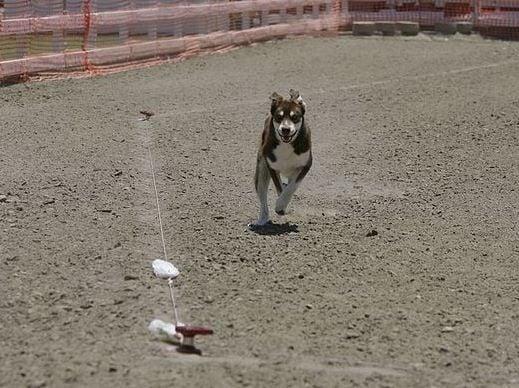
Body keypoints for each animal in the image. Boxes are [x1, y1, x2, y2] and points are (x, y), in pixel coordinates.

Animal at [252, 88, 312, 227]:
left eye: (295, 117)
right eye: (279, 117)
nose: (285, 129)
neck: (286, 145)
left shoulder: (305, 165)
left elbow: (292, 187)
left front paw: (281, 205)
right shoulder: (272, 167)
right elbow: (279, 188)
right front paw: (281, 206)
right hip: (261, 171)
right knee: (263, 199)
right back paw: (261, 220)